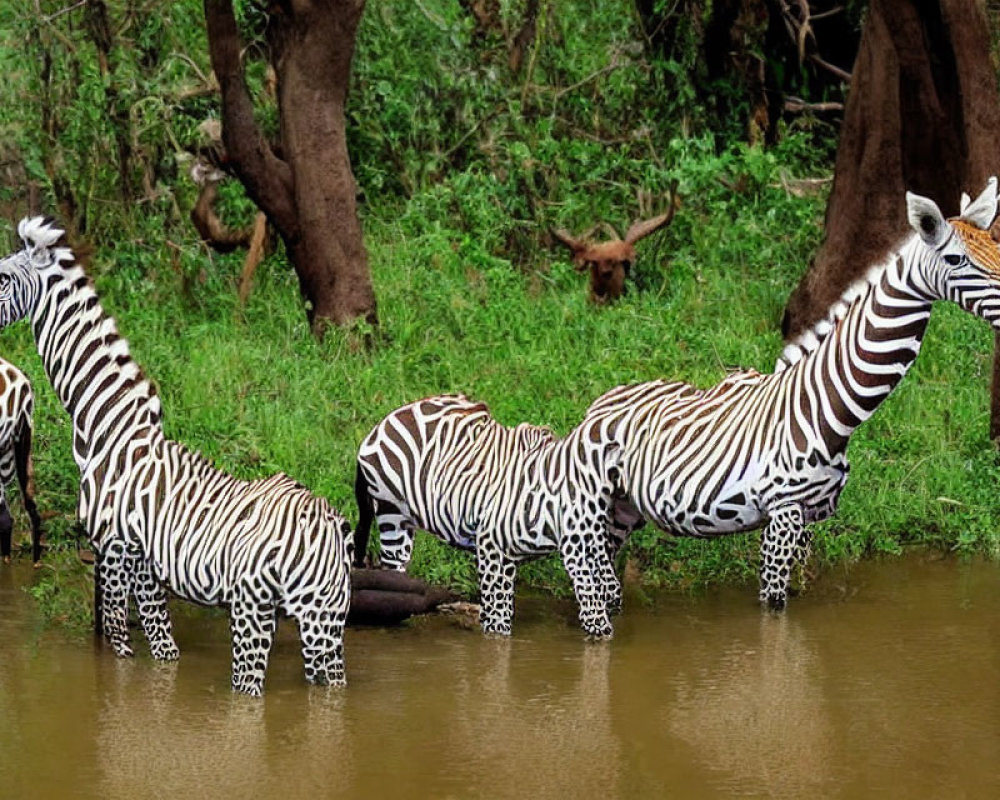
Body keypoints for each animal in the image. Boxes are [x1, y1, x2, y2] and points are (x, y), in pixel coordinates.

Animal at [0, 219, 356, 692]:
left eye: (3, 277)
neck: (108, 426)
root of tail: (334, 524)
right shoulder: (145, 564)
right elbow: (163, 648)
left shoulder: (112, 547)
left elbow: (117, 642)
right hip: (324, 617)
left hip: (258, 609)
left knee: (248, 690)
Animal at [356, 394, 628, 636]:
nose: (607, 631)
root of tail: (384, 423)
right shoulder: (494, 550)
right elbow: (498, 624)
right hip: (392, 514)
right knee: (393, 569)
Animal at [580, 178, 1000, 608]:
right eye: (955, 259)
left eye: (996, 247)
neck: (830, 408)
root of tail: (601, 400)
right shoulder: (782, 513)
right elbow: (773, 609)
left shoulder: (811, 516)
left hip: (623, 510)